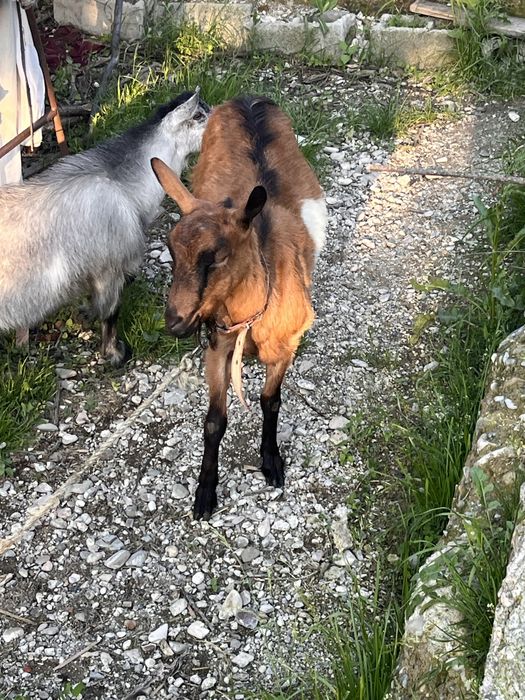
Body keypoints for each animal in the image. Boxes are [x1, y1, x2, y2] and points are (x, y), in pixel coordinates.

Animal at [151, 95, 327, 519]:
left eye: (215, 257)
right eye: (170, 250)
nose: (175, 322)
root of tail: (247, 99)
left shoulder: (285, 346)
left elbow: (270, 400)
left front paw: (271, 461)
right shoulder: (218, 345)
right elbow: (215, 421)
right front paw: (205, 492)